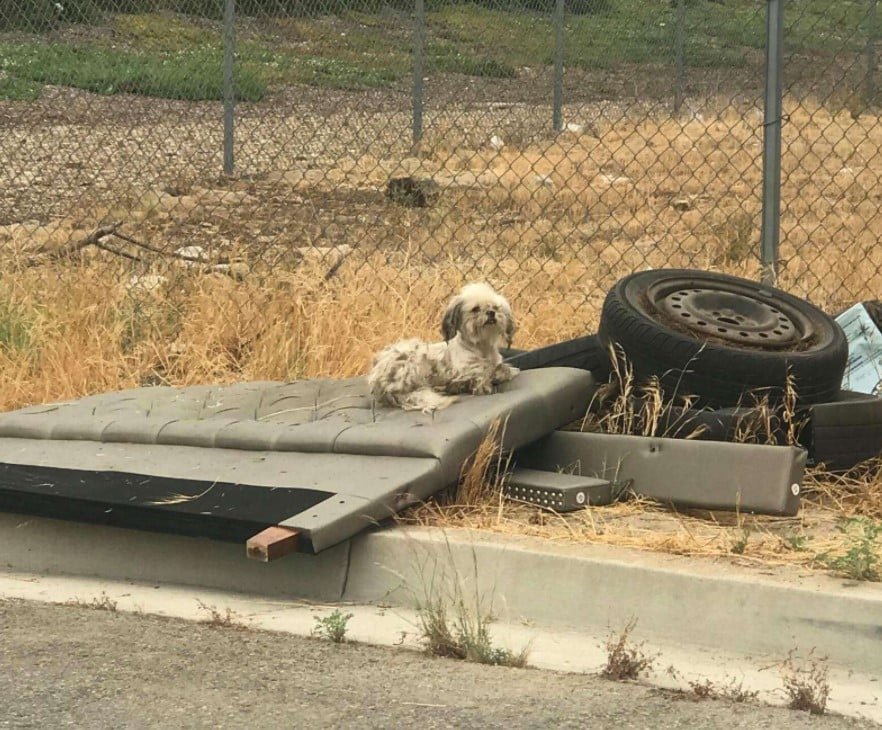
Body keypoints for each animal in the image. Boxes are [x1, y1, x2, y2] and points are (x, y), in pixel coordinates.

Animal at [368, 282, 520, 412]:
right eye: (476, 309)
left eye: (496, 307)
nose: (491, 312)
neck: (482, 347)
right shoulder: (463, 370)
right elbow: (482, 373)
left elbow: (503, 369)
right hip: (412, 357)